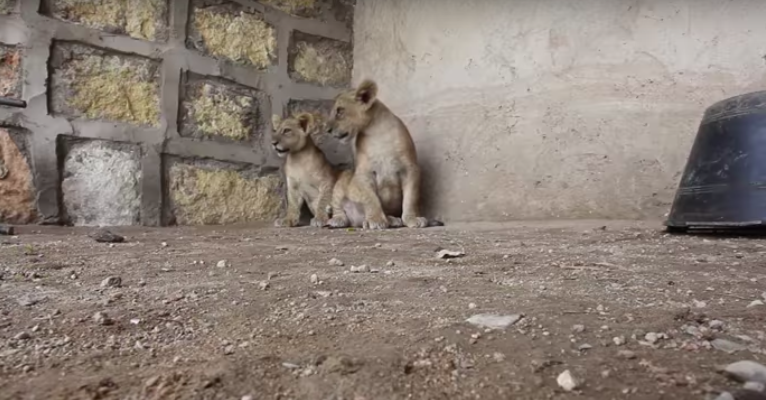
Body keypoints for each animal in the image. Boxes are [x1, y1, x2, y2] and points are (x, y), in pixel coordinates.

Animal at [325, 79, 443, 229]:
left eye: (340, 111)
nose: (327, 129)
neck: (376, 132)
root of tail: (355, 221)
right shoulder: (363, 174)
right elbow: (371, 199)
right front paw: (376, 220)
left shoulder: (410, 169)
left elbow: (411, 198)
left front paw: (412, 219)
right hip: (343, 181)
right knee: (338, 207)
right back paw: (338, 220)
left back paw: (393, 220)